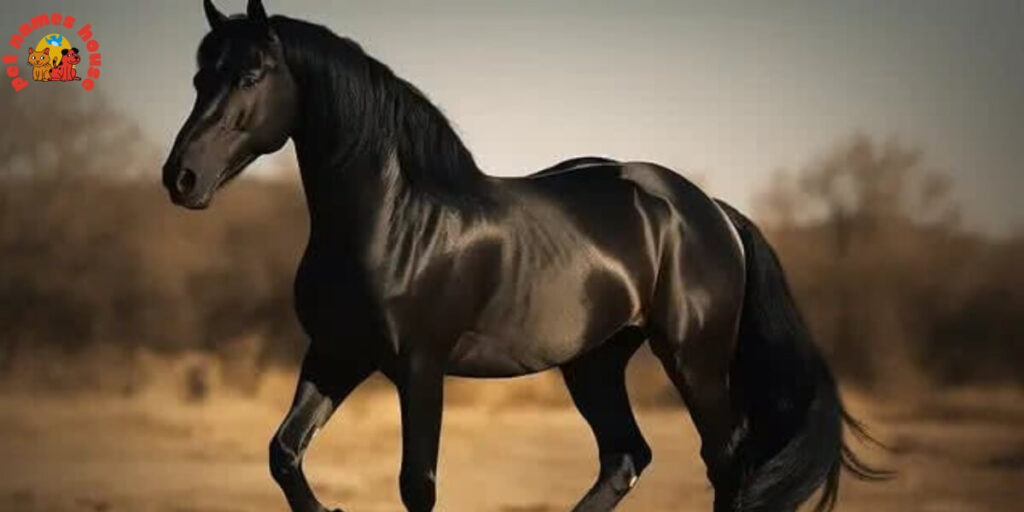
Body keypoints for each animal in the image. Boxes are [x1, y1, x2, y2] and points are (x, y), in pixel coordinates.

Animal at [162, 2, 885, 511]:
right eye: (198, 76)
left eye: (251, 74)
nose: (181, 178)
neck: (393, 219)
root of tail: (711, 210)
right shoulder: (338, 353)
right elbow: (284, 454)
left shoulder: (419, 366)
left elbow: (416, 484)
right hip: (595, 362)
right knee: (627, 457)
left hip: (694, 359)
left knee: (727, 464)